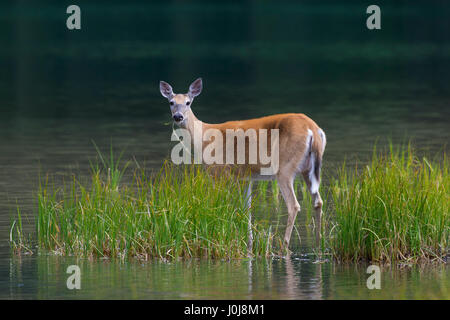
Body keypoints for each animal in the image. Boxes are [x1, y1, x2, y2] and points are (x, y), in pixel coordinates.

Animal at [160, 78, 326, 252]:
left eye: (188, 102)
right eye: (171, 102)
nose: (178, 116)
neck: (203, 137)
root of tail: (313, 129)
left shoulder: (219, 171)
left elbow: (219, 204)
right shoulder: (246, 177)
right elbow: (247, 209)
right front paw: (249, 243)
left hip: (285, 168)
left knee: (293, 205)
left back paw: (284, 246)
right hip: (308, 169)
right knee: (318, 202)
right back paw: (318, 245)